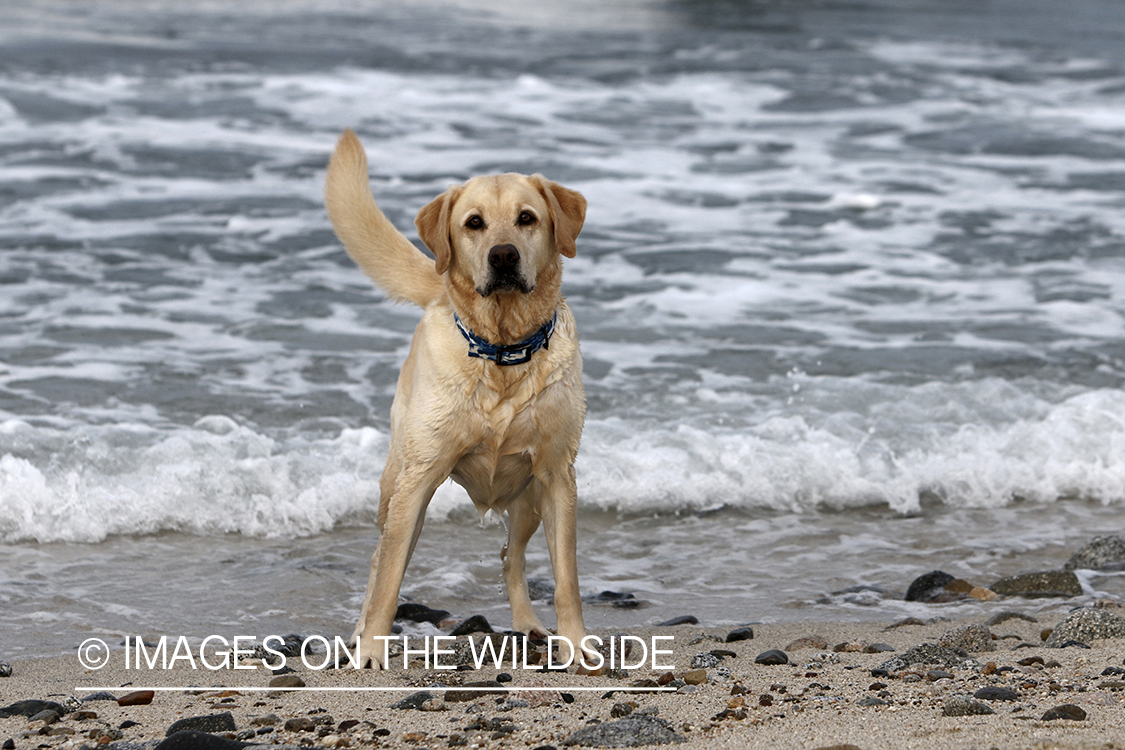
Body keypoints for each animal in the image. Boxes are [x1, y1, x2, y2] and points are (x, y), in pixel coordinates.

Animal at [321, 129, 589, 670]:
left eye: (527, 218)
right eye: (474, 223)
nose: (503, 256)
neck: (503, 353)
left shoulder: (557, 475)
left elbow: (566, 579)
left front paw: (576, 643)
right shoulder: (419, 479)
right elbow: (389, 581)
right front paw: (373, 649)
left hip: (528, 501)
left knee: (512, 557)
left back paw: (527, 623)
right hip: (398, 485)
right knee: (380, 559)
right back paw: (360, 632)